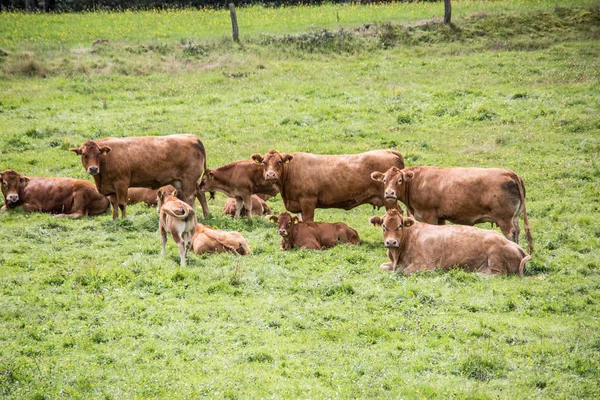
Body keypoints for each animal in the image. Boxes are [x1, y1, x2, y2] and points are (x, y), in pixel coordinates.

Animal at [70, 134, 209, 219]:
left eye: (98, 153)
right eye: (84, 154)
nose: (93, 168)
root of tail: (193, 137)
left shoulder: (121, 184)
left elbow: (121, 204)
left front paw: (124, 219)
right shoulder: (111, 187)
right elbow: (114, 204)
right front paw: (115, 219)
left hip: (189, 179)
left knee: (191, 197)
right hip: (183, 181)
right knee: (200, 194)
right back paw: (206, 214)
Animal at [248, 149, 404, 222]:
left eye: (279, 162)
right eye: (264, 162)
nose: (271, 175)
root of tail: (388, 151)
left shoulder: (308, 201)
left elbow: (309, 220)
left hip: (389, 199)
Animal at [370, 166, 536, 253]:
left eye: (399, 180)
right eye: (384, 180)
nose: (389, 193)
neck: (417, 183)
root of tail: (510, 173)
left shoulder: (429, 215)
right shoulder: (440, 218)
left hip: (505, 219)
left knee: (511, 235)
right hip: (514, 217)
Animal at [370, 208, 528, 276]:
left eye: (400, 225)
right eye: (384, 226)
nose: (391, 242)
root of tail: (517, 246)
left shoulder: (425, 265)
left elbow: (403, 271)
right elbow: (382, 266)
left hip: (495, 259)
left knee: (499, 274)